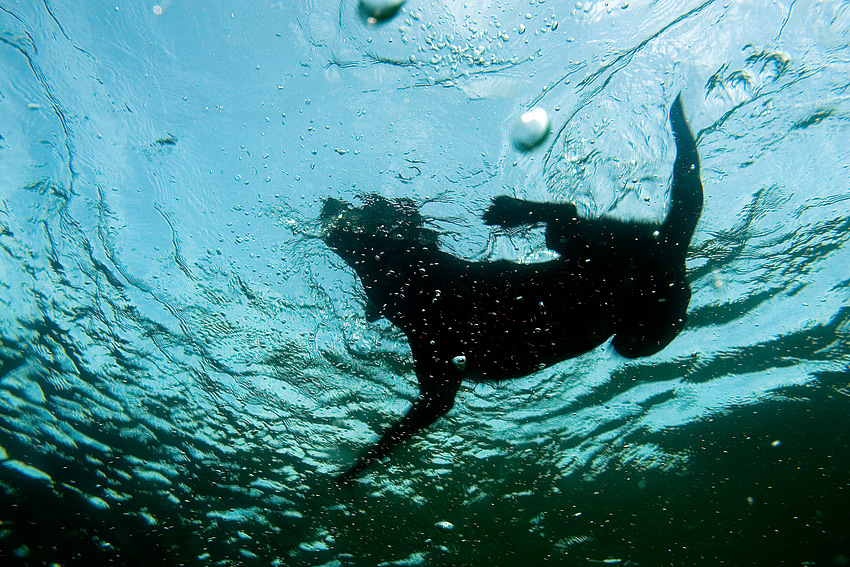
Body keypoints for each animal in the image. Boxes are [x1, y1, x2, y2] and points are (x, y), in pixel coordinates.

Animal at [322, 94, 700, 484]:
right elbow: (430, 405)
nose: (332, 216)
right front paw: (353, 470)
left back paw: (511, 210)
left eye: (370, 237)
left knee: (567, 217)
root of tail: (670, 246)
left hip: (615, 263)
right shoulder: (435, 363)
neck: (431, 300)